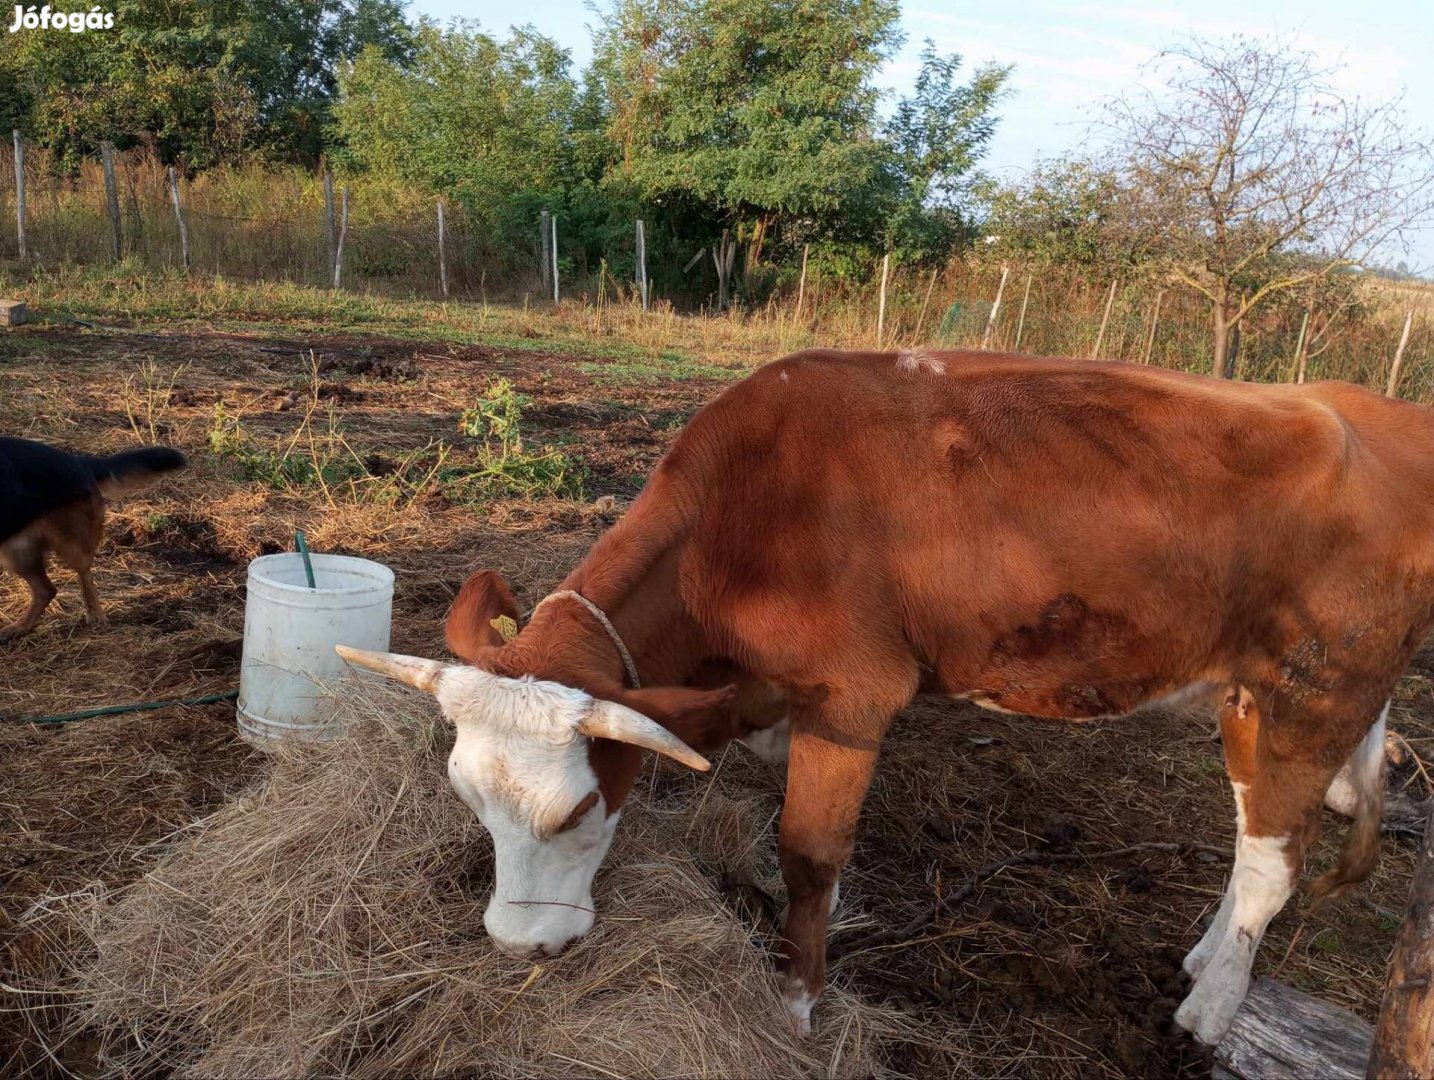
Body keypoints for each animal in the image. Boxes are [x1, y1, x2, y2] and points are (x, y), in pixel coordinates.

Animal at [0, 436, 187, 639]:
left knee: (83, 575)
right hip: (16, 552)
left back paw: (95, 613)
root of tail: (78, 461)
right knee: (45, 591)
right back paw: (22, 626)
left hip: (70, 547)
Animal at [338, 351, 1434, 1044]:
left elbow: (810, 853)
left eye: (572, 813)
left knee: (1274, 862)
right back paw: (1208, 964)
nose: (519, 945)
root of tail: (1379, 410)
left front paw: (794, 1002)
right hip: (1260, 697)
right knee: (1258, 843)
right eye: (469, 801)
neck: (739, 521)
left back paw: (1210, 1013)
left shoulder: (851, 694)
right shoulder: (763, 692)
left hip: (1313, 696)